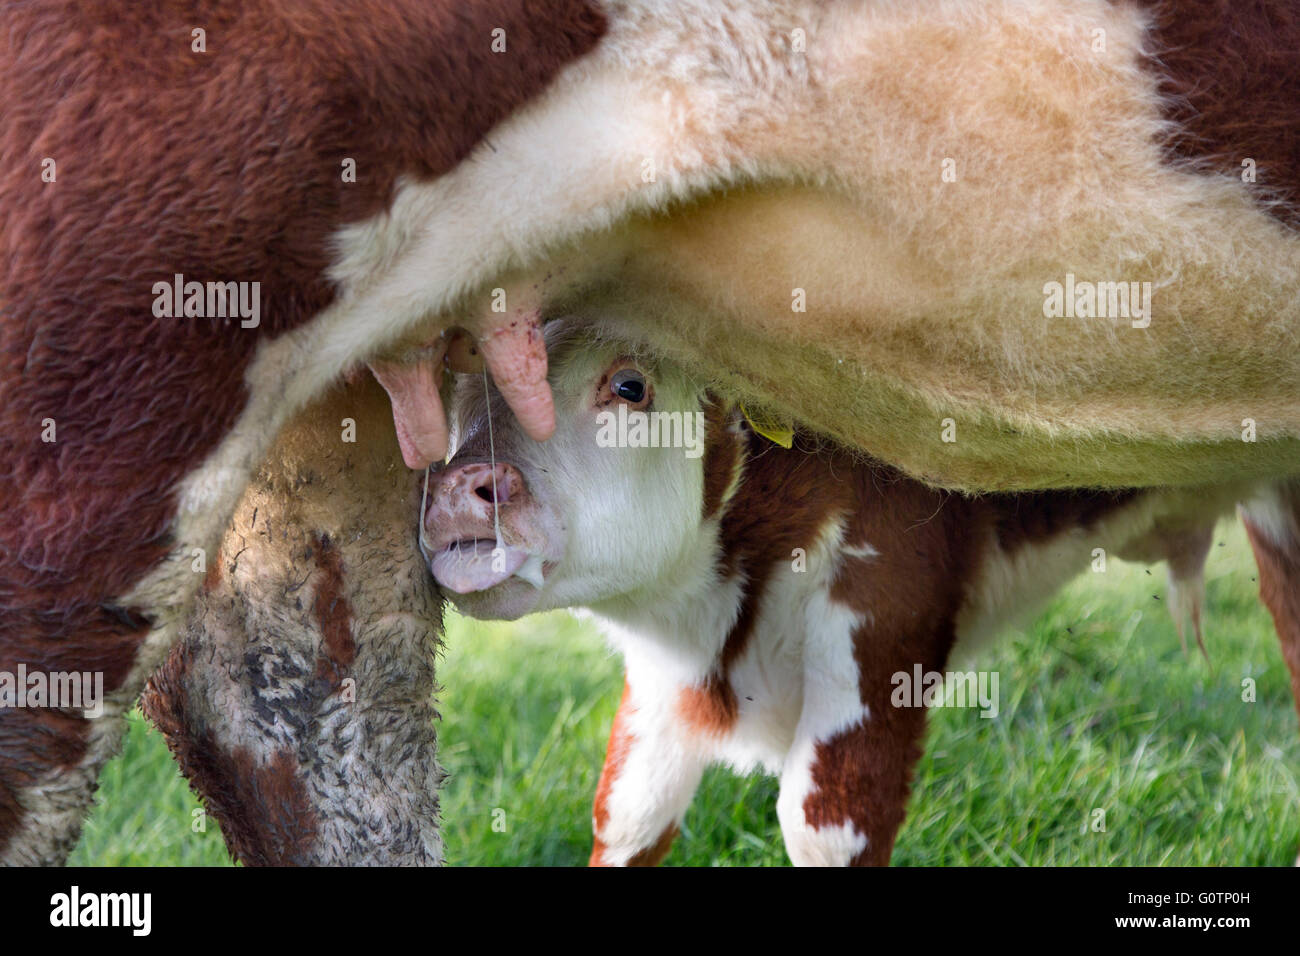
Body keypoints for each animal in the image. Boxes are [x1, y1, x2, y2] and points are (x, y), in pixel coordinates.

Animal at [424, 319, 1292, 866]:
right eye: (461, 390)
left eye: (631, 385)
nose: (464, 489)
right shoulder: (663, 679)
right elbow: (629, 812)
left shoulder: (883, 620)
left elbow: (827, 825)